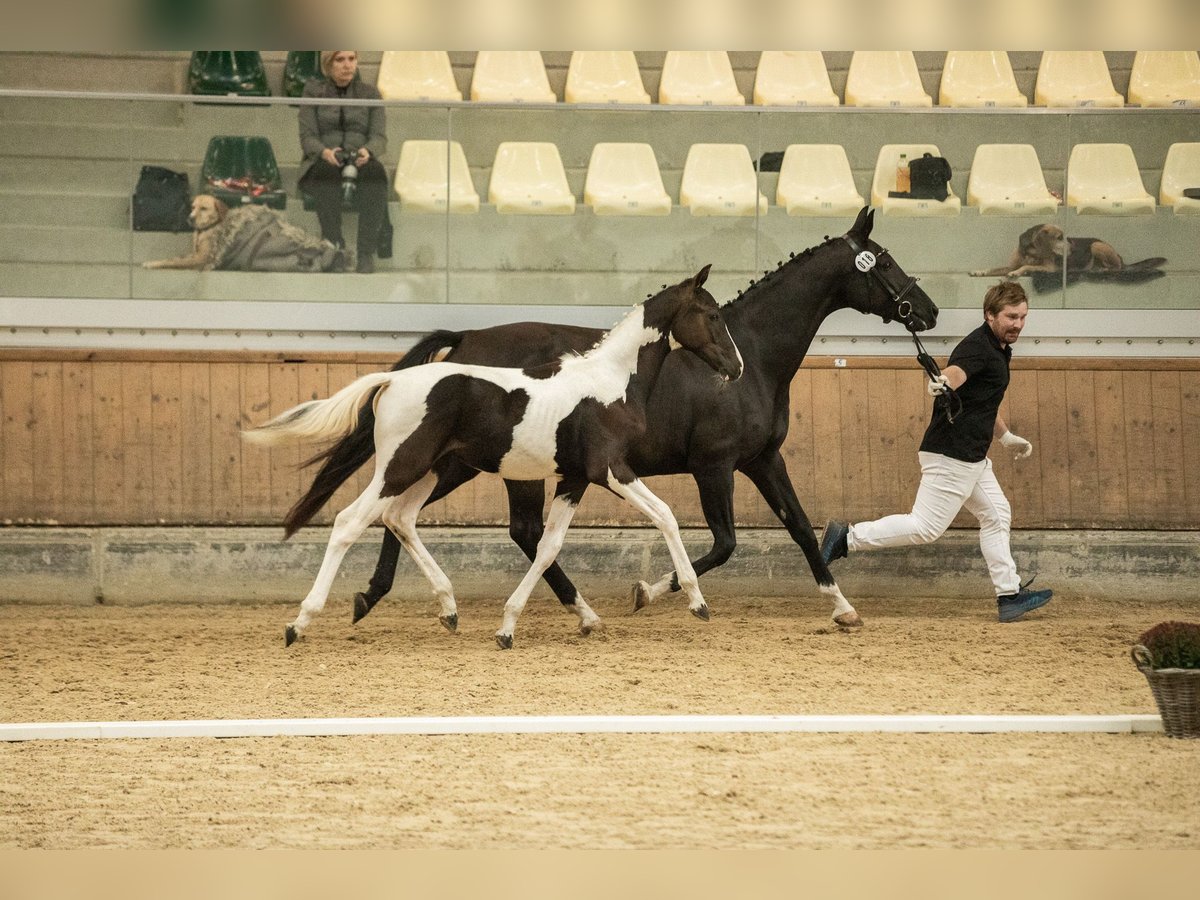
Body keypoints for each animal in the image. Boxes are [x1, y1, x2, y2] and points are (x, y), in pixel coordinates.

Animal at [243, 264, 739, 652]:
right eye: (713, 314)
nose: (736, 368)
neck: (610, 382)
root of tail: (391, 380)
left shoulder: (574, 479)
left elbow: (548, 546)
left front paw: (512, 627)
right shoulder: (610, 470)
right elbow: (666, 515)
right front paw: (697, 602)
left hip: (436, 468)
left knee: (400, 518)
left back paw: (448, 609)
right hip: (402, 466)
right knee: (350, 521)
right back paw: (299, 623)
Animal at [283, 210, 936, 633]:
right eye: (884, 262)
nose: (926, 311)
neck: (758, 355)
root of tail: (464, 338)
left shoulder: (762, 460)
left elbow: (799, 527)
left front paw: (843, 607)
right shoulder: (714, 465)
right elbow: (722, 542)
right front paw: (652, 593)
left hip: (461, 462)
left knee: (405, 516)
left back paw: (389, 599)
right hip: (483, 466)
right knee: (480, 525)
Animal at [969, 224, 1128, 277]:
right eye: (1059, 237)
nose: (1073, 247)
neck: (1031, 254)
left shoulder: (1049, 268)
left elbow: (1027, 266)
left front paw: (1017, 272)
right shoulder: (1010, 265)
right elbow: (993, 268)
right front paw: (980, 271)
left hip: (1096, 245)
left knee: (1117, 266)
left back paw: (1102, 269)